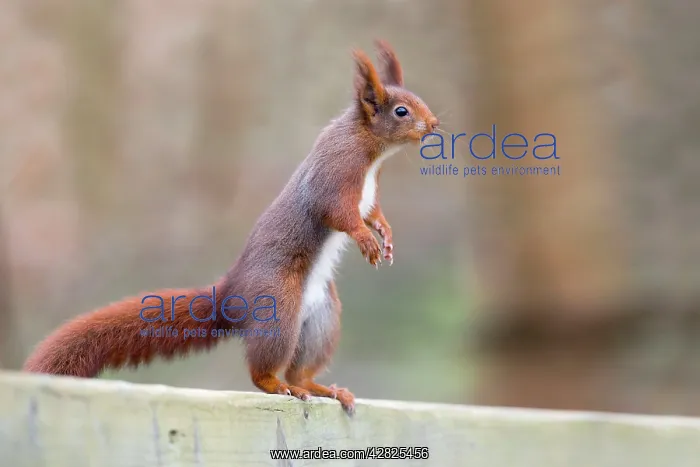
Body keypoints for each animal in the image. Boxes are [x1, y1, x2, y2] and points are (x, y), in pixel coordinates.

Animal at [22, 40, 438, 414]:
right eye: (401, 111)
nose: (434, 125)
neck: (371, 150)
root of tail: (231, 294)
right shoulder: (336, 174)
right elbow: (340, 214)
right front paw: (366, 240)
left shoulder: (369, 193)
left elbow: (372, 213)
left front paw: (384, 233)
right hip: (279, 306)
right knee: (264, 370)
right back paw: (276, 384)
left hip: (322, 318)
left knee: (301, 369)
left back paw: (321, 388)